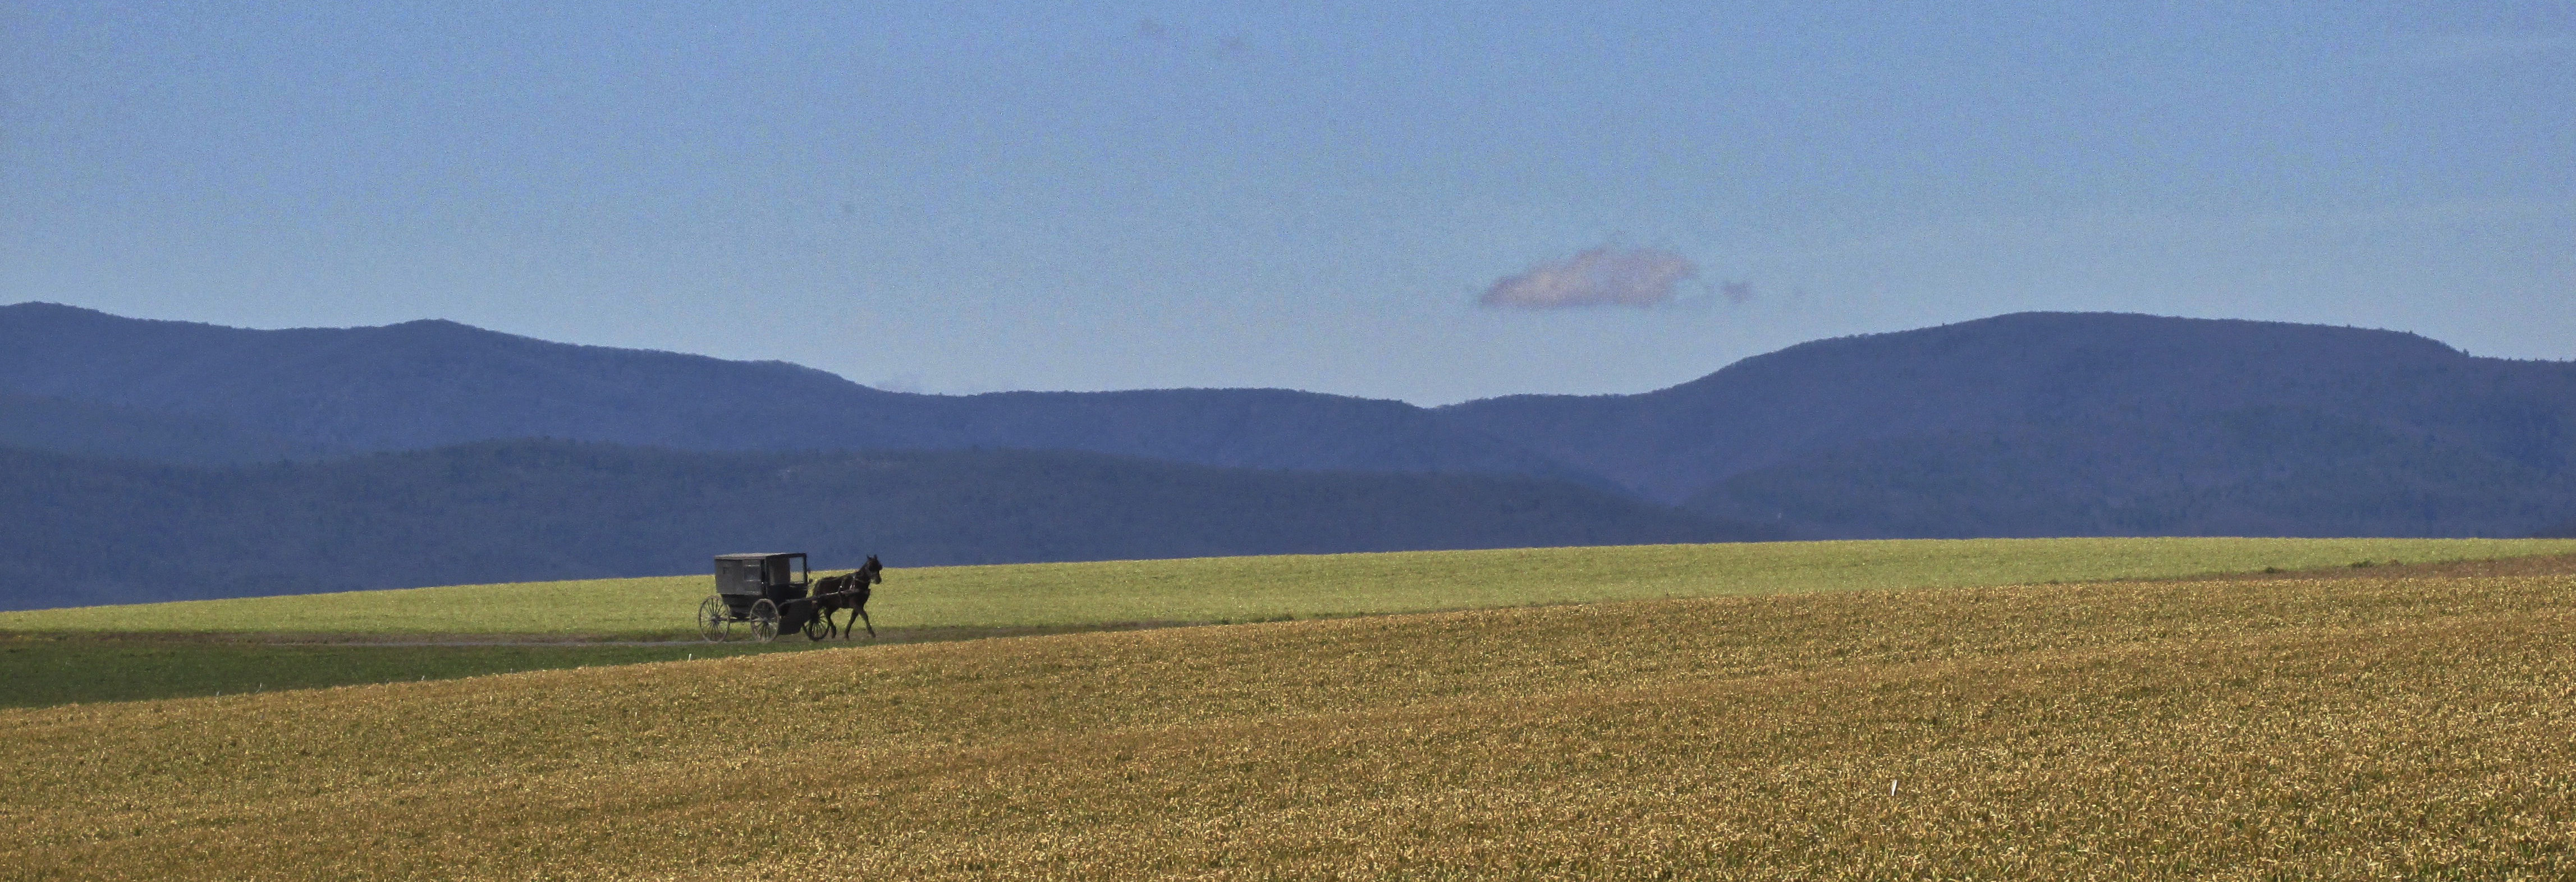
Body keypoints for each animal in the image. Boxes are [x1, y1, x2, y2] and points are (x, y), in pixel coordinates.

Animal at [804, 554, 886, 637]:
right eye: (869, 568)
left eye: (879, 566)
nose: (878, 580)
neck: (857, 584)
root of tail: (818, 583)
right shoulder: (855, 604)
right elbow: (864, 615)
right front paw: (871, 633)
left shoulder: (860, 604)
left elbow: (853, 618)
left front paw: (846, 634)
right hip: (819, 603)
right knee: (814, 615)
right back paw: (811, 634)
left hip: (834, 605)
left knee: (827, 614)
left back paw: (833, 631)